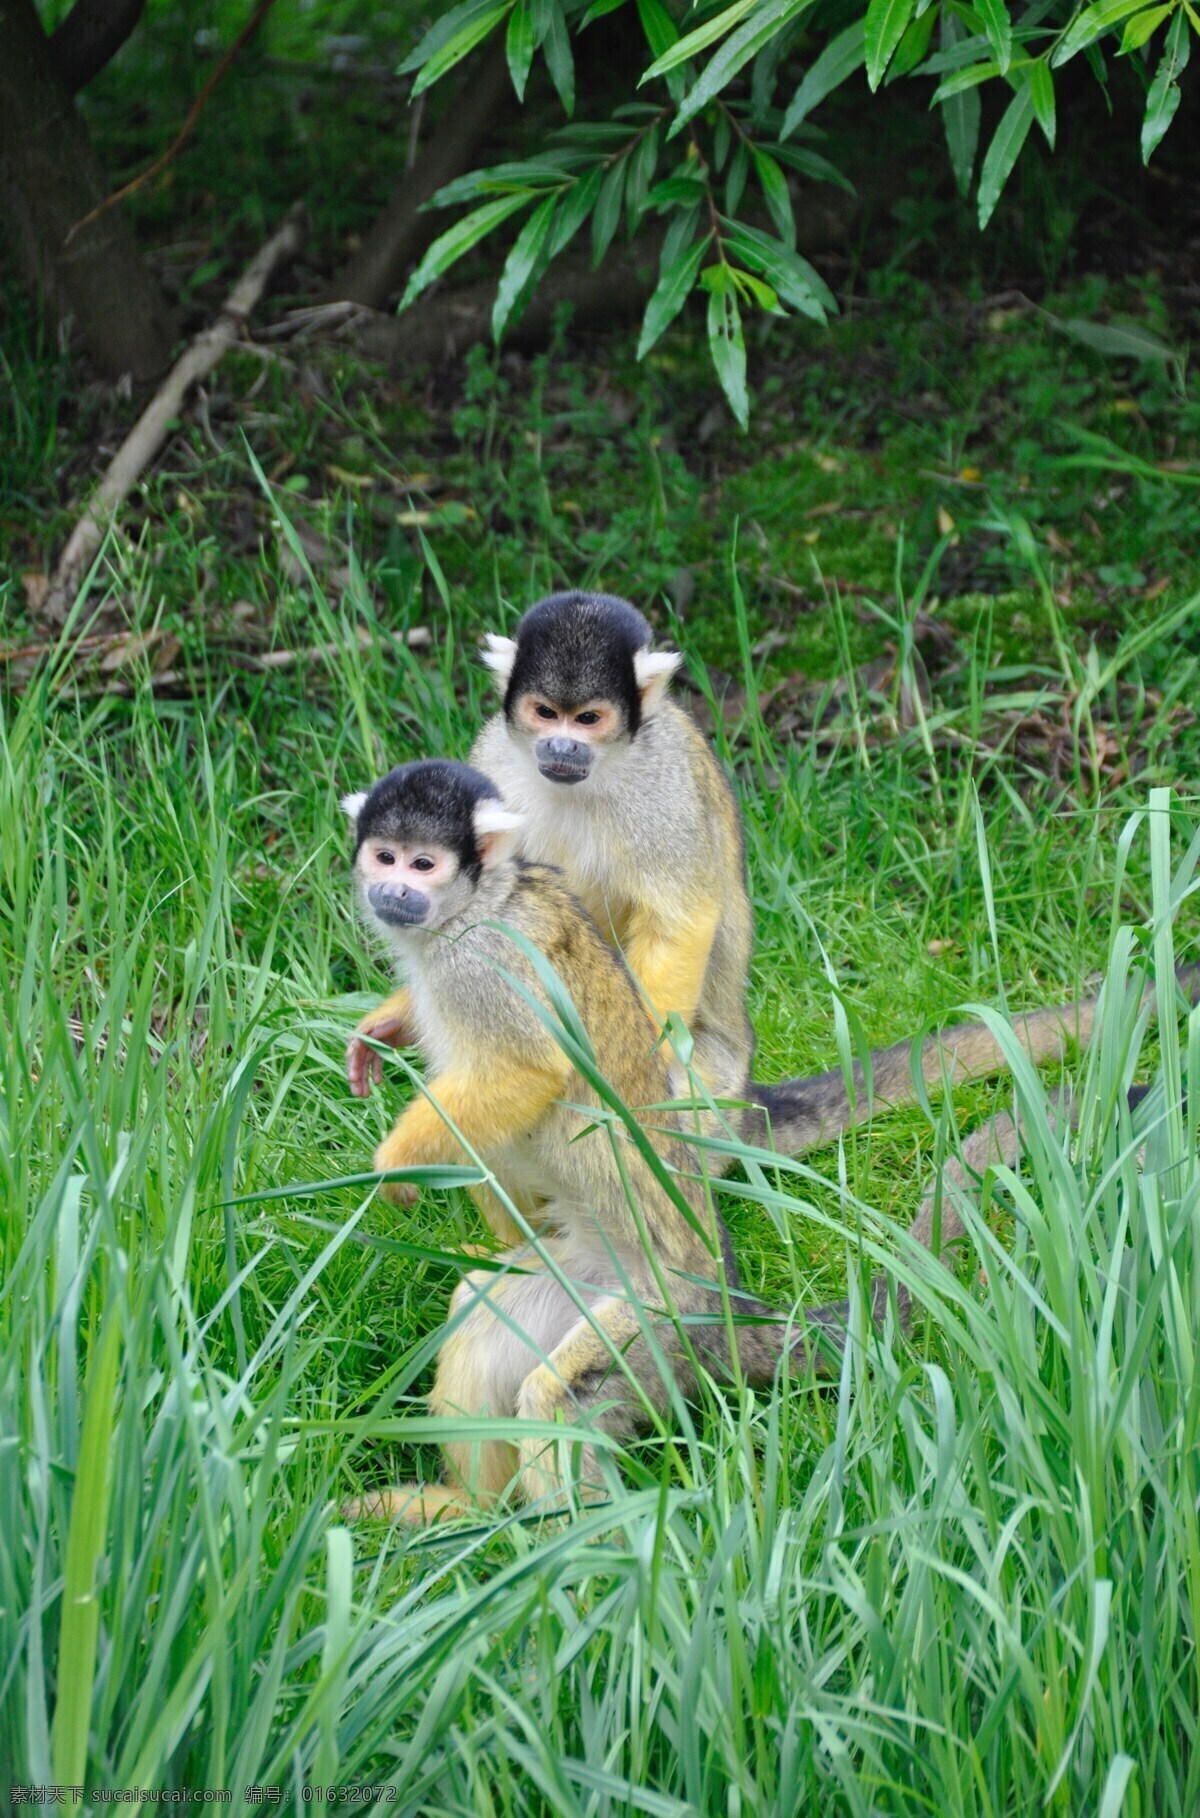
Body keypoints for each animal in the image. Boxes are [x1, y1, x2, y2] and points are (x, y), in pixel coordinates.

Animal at [338, 759, 807, 1527]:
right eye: (384, 855)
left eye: (423, 864)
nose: (394, 890)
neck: (478, 903)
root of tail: (727, 1308)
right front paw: (387, 1026)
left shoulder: (484, 962)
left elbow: (526, 1071)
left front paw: (395, 1169)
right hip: (576, 1280)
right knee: (481, 1308)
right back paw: (470, 1510)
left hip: (661, 1324)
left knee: (558, 1395)